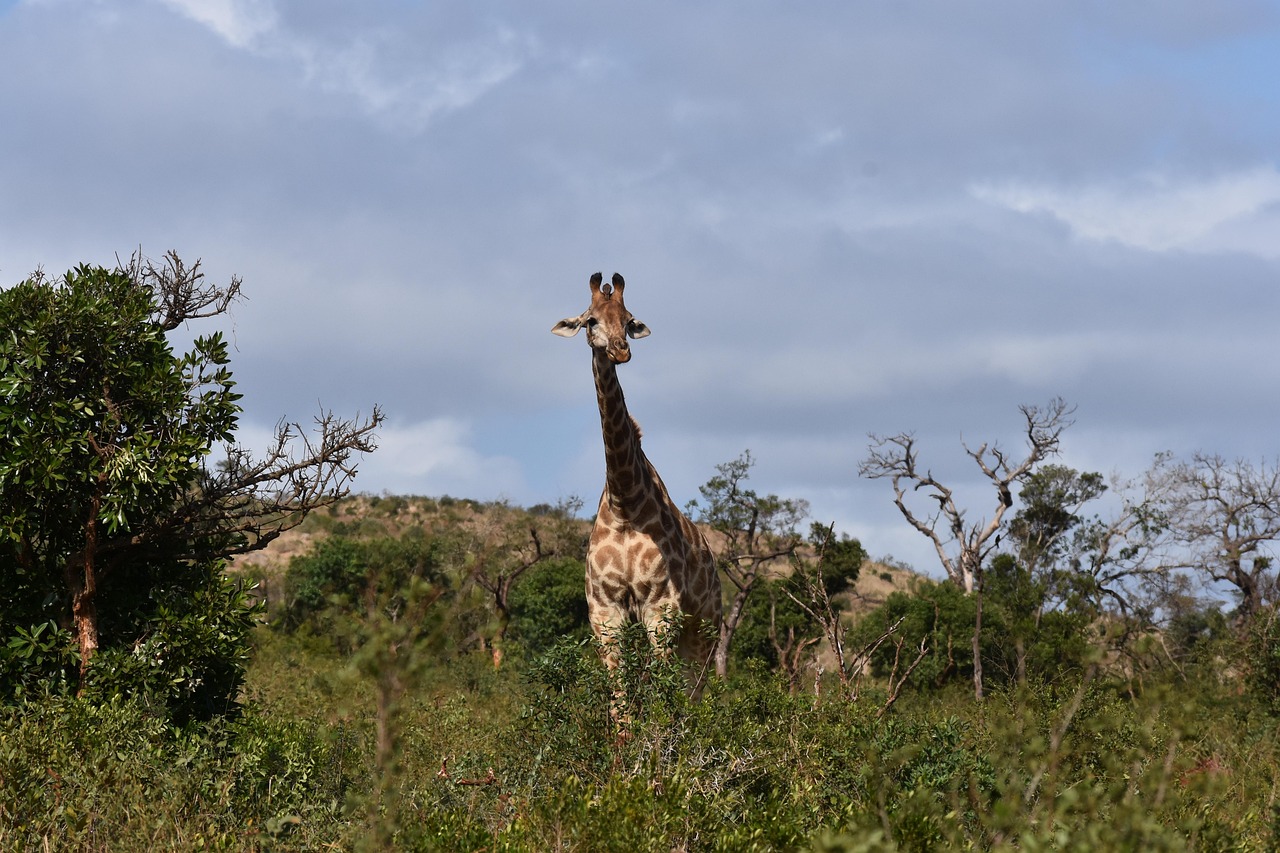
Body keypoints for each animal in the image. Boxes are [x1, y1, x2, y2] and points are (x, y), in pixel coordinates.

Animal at [552, 268, 721, 696]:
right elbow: (622, 698)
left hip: (705, 626)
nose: (620, 350)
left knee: (693, 692)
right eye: (590, 320)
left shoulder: (661, 607)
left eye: (629, 320)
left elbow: (661, 695)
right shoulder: (606, 612)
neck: (625, 501)